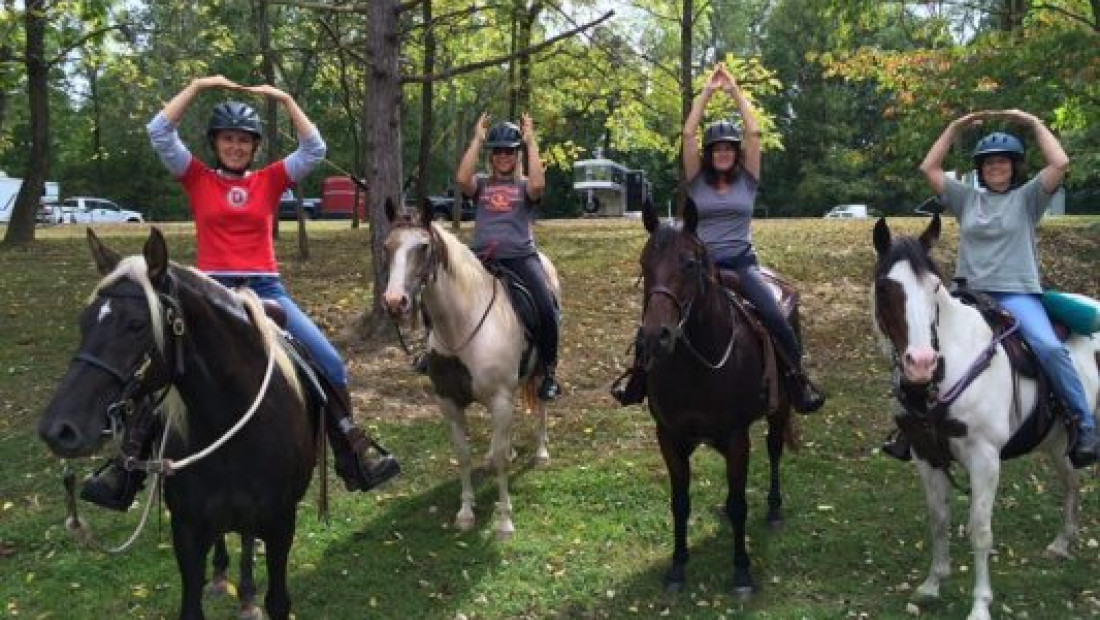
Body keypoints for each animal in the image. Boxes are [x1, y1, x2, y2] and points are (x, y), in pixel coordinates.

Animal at [37, 228, 319, 620]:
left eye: (137, 324)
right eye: (84, 321)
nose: (58, 429)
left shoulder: (280, 525)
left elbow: (277, 600)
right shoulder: (187, 530)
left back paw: (246, 594)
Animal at [385, 200, 558, 538]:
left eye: (423, 247)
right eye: (387, 246)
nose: (395, 302)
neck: (462, 327)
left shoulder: (501, 399)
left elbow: (503, 461)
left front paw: (504, 522)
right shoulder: (449, 403)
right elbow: (463, 455)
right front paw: (465, 513)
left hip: (538, 373)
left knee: (541, 405)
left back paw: (541, 453)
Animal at [638, 200, 800, 593]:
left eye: (689, 263)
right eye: (643, 264)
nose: (654, 337)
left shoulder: (736, 435)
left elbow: (741, 503)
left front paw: (742, 571)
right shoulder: (669, 436)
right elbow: (680, 502)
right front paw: (677, 566)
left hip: (780, 409)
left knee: (774, 449)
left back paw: (774, 509)